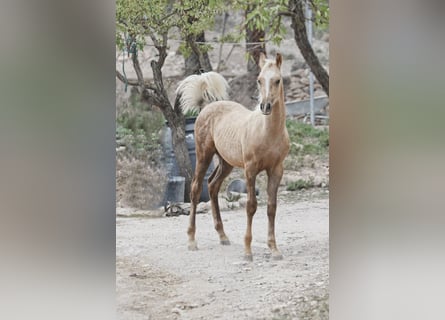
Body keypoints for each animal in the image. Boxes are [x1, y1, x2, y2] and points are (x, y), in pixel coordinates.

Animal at [177, 53, 292, 262]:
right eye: (259, 80)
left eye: (277, 80)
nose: (265, 106)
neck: (267, 132)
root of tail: (207, 107)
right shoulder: (250, 170)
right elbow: (251, 206)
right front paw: (247, 251)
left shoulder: (276, 170)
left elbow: (271, 207)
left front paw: (274, 249)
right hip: (203, 155)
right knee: (196, 189)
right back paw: (191, 240)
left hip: (226, 163)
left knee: (212, 186)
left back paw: (223, 236)